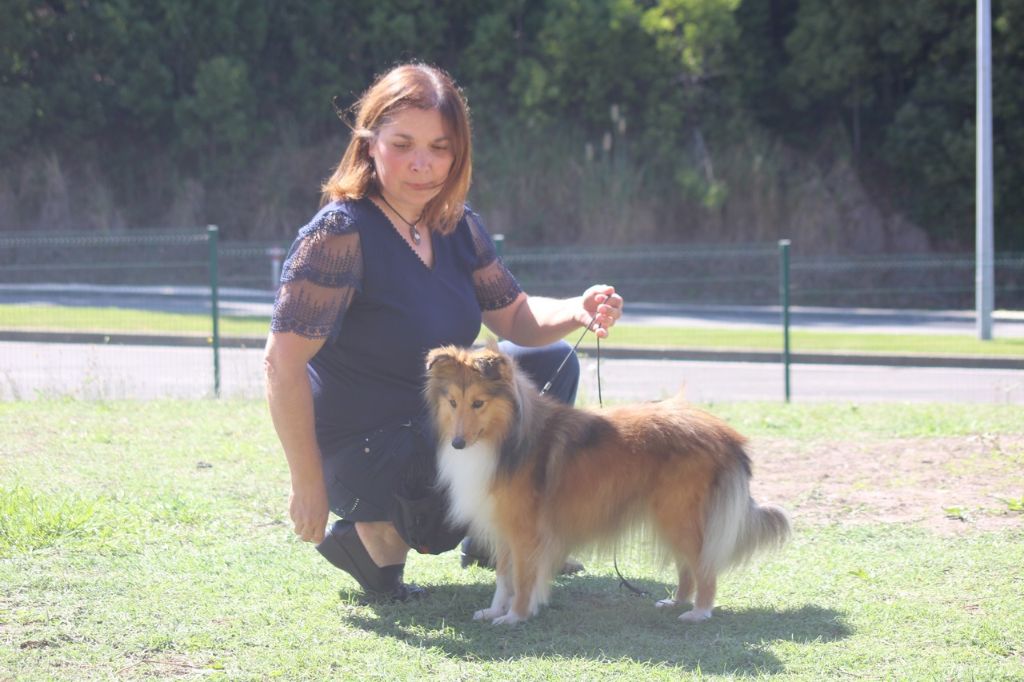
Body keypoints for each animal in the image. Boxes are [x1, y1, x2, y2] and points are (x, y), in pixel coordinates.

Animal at [423, 342, 790, 622]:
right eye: (452, 402)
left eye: (478, 403)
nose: (457, 443)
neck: (506, 440)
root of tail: (727, 436)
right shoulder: (502, 527)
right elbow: (503, 575)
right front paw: (494, 610)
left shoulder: (527, 531)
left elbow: (524, 578)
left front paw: (516, 616)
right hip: (670, 516)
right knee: (688, 566)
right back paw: (677, 601)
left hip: (679, 515)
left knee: (704, 566)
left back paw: (699, 612)